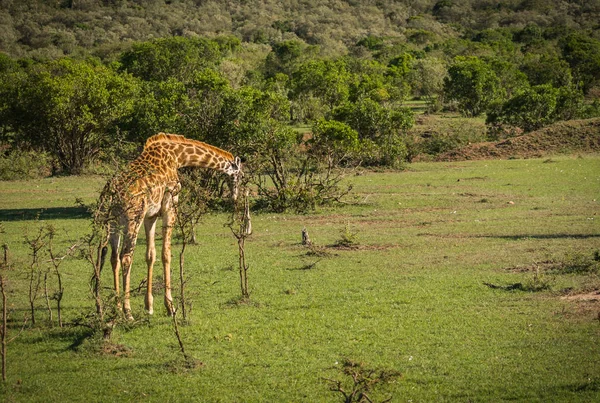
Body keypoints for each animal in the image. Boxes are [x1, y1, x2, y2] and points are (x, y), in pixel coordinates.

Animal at [99, 134, 243, 320]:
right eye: (240, 175)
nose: (235, 196)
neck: (178, 156)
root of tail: (110, 195)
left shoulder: (151, 215)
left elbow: (150, 255)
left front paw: (149, 306)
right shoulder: (170, 204)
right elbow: (166, 254)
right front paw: (170, 306)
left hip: (113, 223)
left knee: (114, 258)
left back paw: (116, 308)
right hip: (133, 219)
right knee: (126, 257)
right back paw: (127, 311)